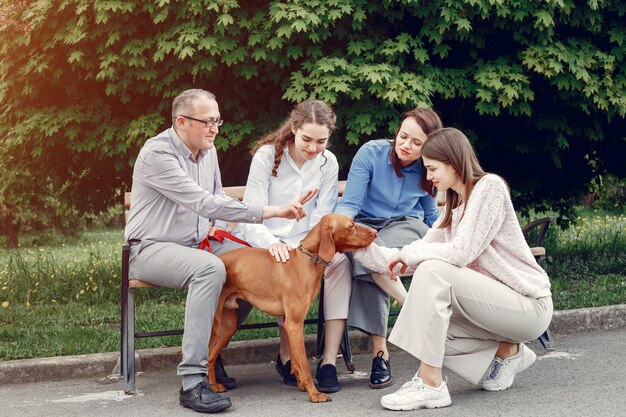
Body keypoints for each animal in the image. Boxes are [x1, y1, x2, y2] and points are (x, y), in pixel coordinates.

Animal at [208, 213, 376, 402]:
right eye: (351, 226)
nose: (375, 232)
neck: (307, 261)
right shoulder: (295, 324)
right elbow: (304, 364)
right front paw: (314, 393)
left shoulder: (291, 324)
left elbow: (296, 362)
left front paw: (301, 384)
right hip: (214, 323)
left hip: (227, 325)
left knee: (210, 355)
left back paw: (214, 384)